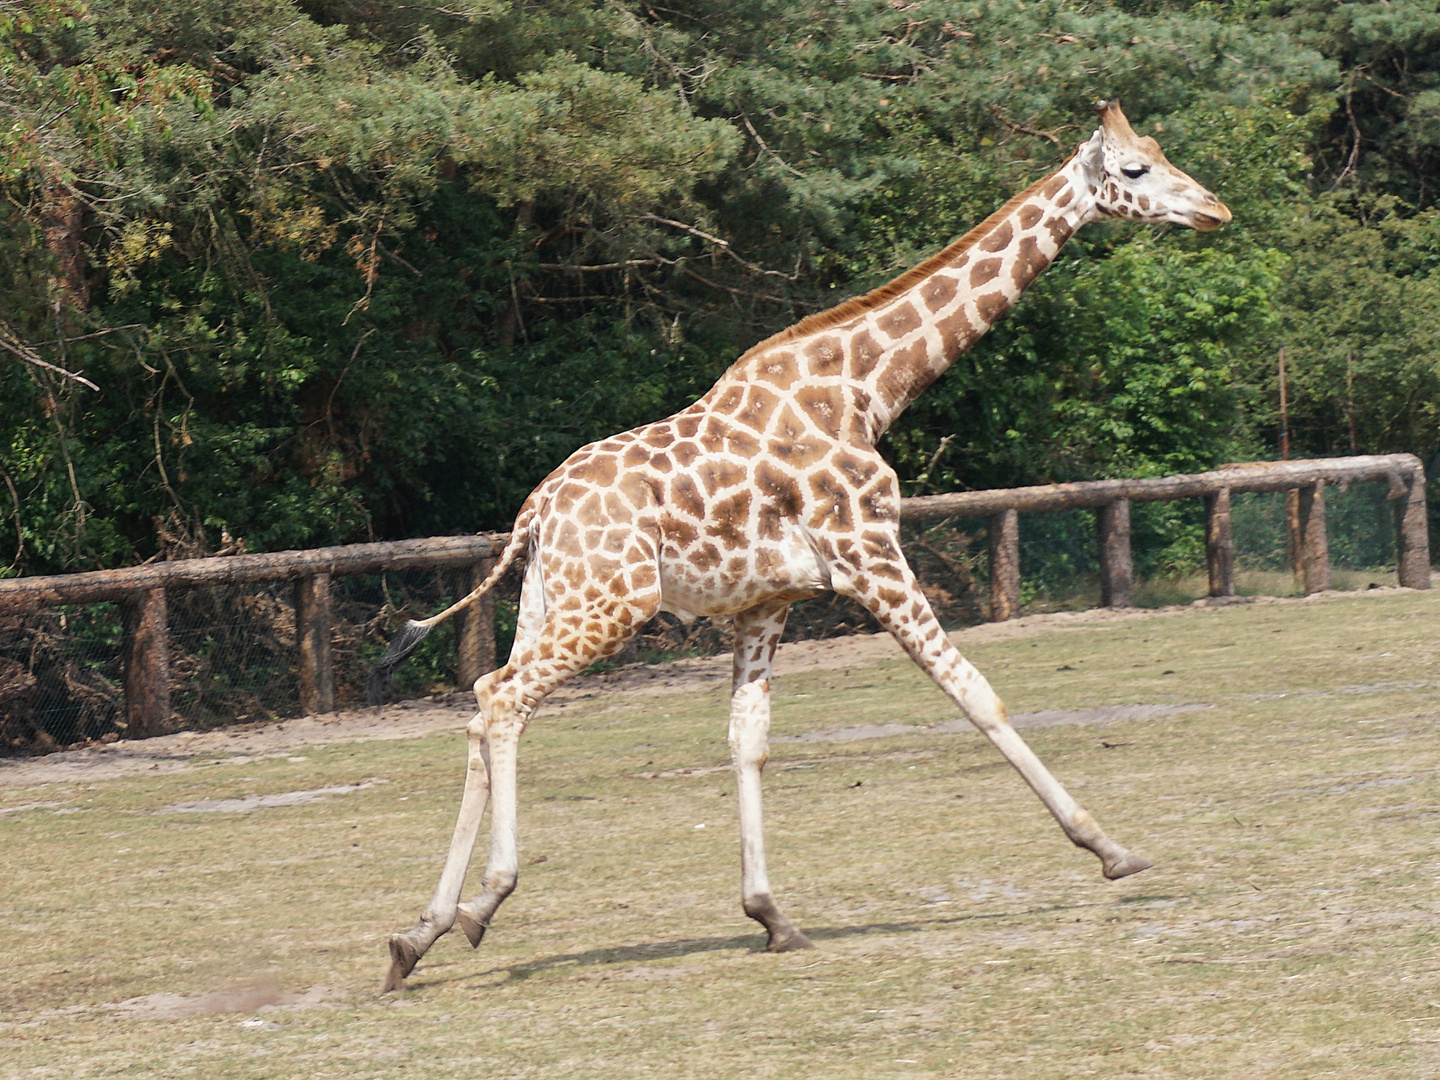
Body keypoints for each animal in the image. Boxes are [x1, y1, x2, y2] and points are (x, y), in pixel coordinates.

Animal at [371, 99, 1226, 990]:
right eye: (1133, 169)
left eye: (1158, 150)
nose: (1215, 209)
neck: (865, 390)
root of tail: (534, 511)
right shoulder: (871, 554)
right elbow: (974, 692)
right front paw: (1111, 849)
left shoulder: (768, 600)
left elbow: (747, 742)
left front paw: (771, 916)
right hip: (614, 604)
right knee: (503, 699)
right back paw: (483, 902)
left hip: (552, 600)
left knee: (484, 703)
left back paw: (420, 933)